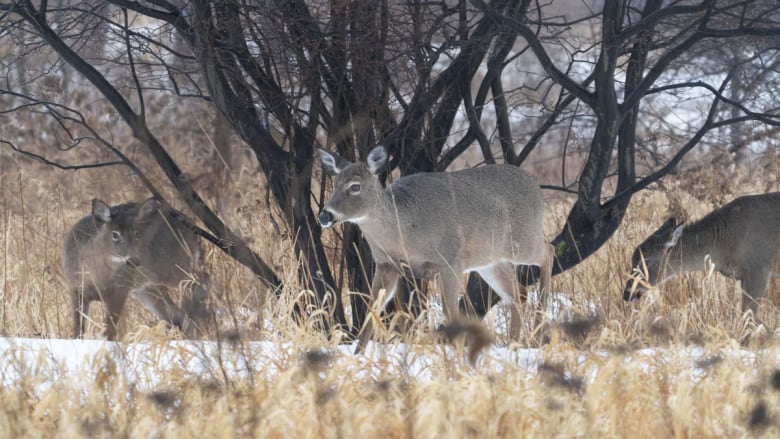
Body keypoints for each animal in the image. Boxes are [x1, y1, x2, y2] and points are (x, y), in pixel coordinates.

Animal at [63, 199, 210, 340]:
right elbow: (78, 330)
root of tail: (194, 230)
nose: (134, 260)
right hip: (148, 287)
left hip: (174, 267)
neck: (96, 274)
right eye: (115, 234)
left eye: (137, 234)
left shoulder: (120, 289)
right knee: (171, 313)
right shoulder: (75, 289)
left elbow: (110, 331)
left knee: (202, 280)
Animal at [316, 146, 556, 352]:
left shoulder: (449, 260)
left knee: (549, 251)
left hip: (523, 241)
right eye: (334, 183)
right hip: (490, 261)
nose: (325, 215)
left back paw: (537, 331)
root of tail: (535, 186)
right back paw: (514, 343)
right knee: (518, 294)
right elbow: (371, 309)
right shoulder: (387, 265)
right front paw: (358, 353)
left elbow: (450, 313)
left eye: (355, 186)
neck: (403, 230)